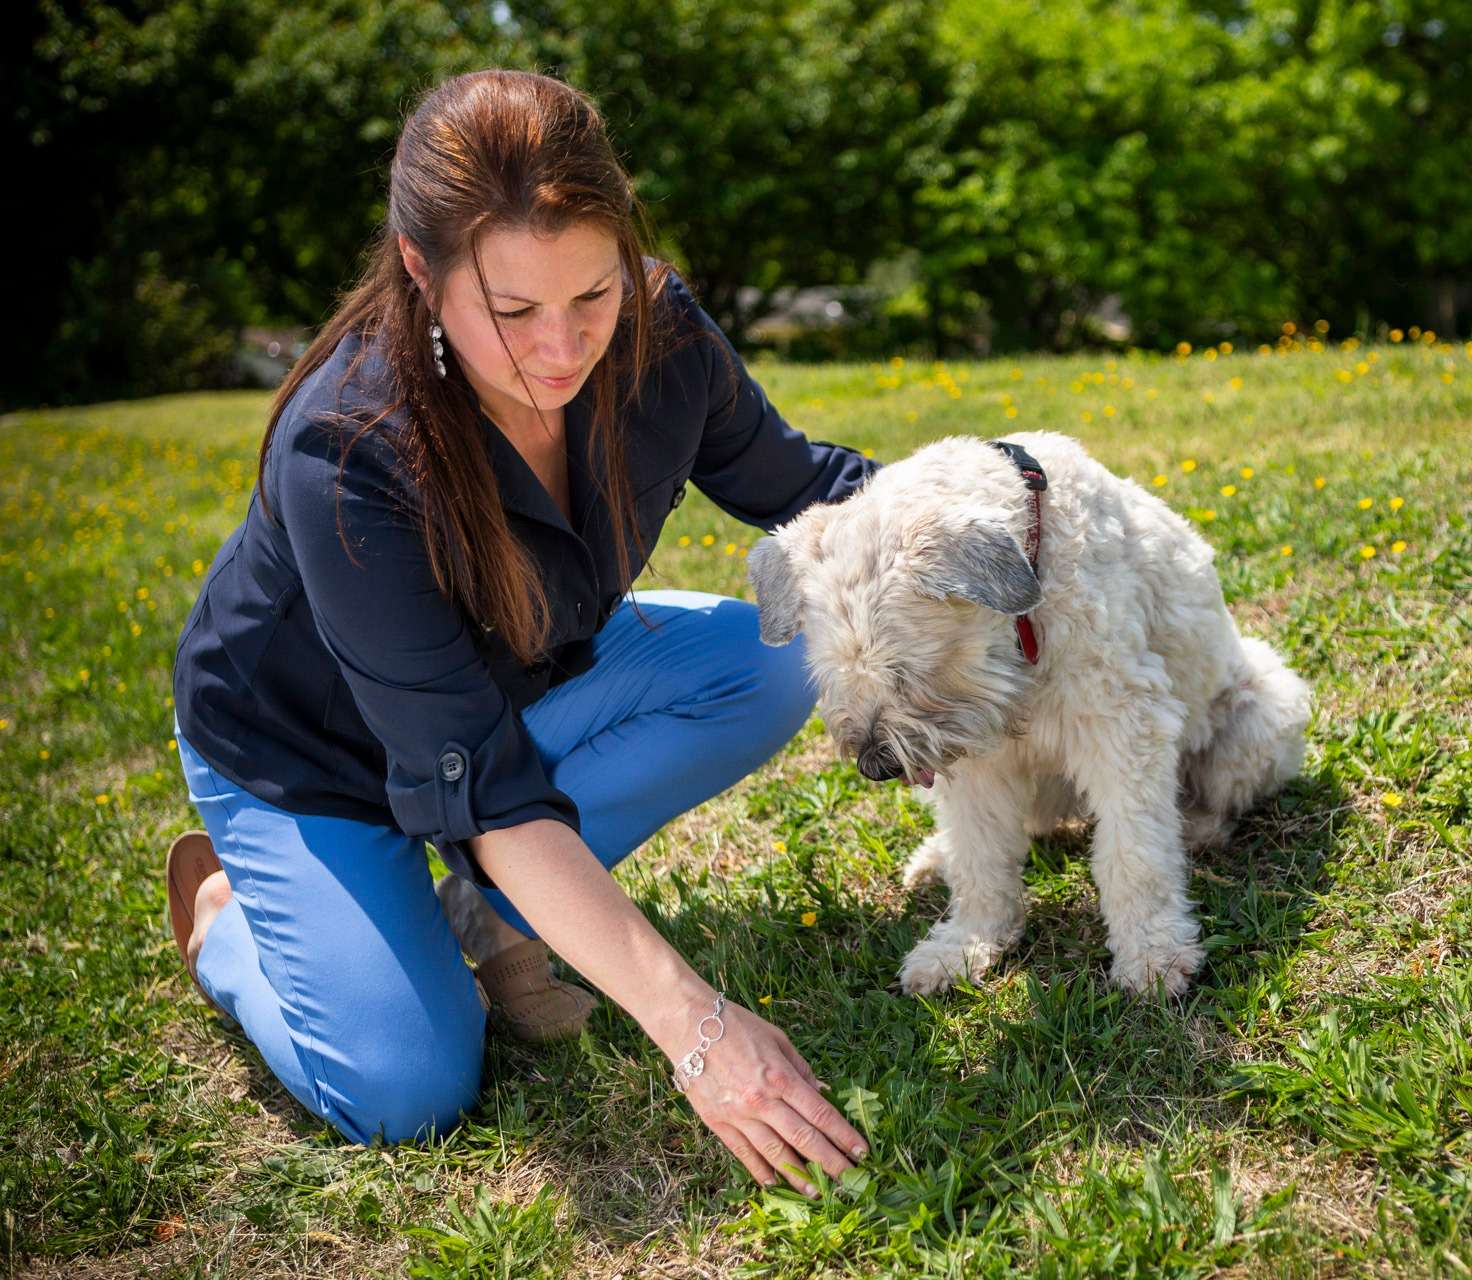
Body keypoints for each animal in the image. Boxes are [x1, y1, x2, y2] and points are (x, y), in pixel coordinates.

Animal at [753, 435, 1307, 994]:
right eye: (832, 671)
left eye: (908, 671)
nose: (875, 766)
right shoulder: (975, 758)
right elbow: (979, 859)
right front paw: (968, 945)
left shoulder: (1122, 725)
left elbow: (1135, 854)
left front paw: (1153, 952)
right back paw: (935, 857)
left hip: (1265, 709)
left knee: (1216, 798)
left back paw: (1196, 827)